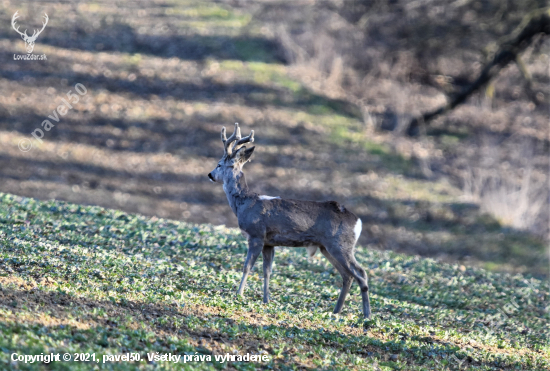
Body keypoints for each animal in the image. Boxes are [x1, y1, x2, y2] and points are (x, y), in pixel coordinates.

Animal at [209, 123, 374, 318]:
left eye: (219, 164)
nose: (210, 174)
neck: (244, 203)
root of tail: (358, 222)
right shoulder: (268, 242)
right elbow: (267, 271)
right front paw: (266, 300)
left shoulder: (256, 235)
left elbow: (247, 266)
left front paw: (238, 294)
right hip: (326, 247)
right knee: (347, 276)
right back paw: (336, 311)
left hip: (341, 245)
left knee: (361, 273)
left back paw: (366, 315)